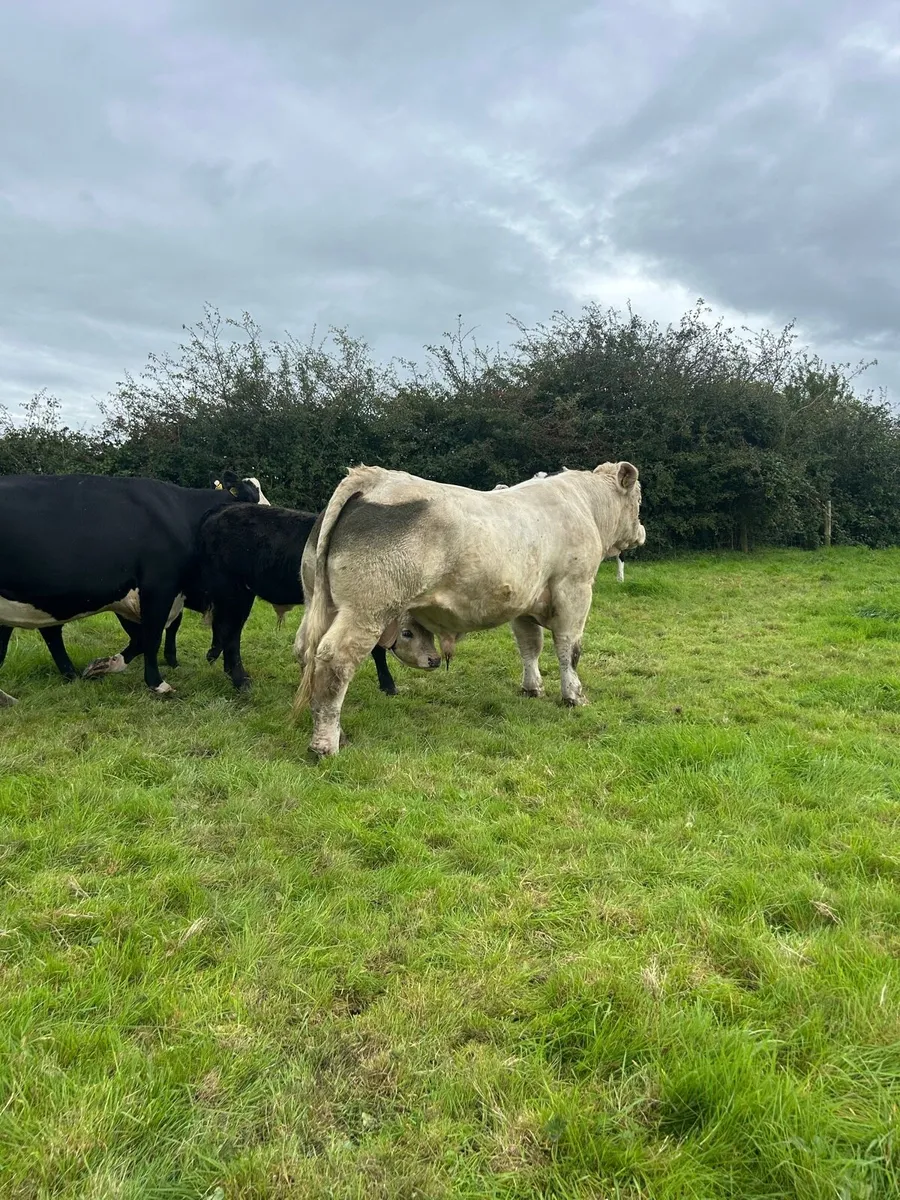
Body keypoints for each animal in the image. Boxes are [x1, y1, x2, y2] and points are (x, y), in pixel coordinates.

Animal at [0, 471, 265, 706]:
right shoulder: (158, 589)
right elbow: (151, 637)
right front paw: (157, 684)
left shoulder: (132, 598)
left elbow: (140, 639)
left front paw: (104, 665)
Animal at [189, 503, 441, 693]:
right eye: (408, 633)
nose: (435, 660)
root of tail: (224, 509)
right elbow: (376, 649)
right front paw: (388, 685)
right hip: (234, 592)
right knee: (230, 632)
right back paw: (240, 680)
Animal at [293, 461, 646, 756]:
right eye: (639, 499)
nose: (641, 531)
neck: (584, 506)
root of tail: (373, 477)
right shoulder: (575, 589)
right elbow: (569, 648)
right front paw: (574, 695)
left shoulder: (523, 602)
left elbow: (530, 646)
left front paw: (532, 688)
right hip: (366, 610)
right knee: (335, 659)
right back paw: (325, 744)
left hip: (318, 601)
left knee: (305, 651)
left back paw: (334, 731)